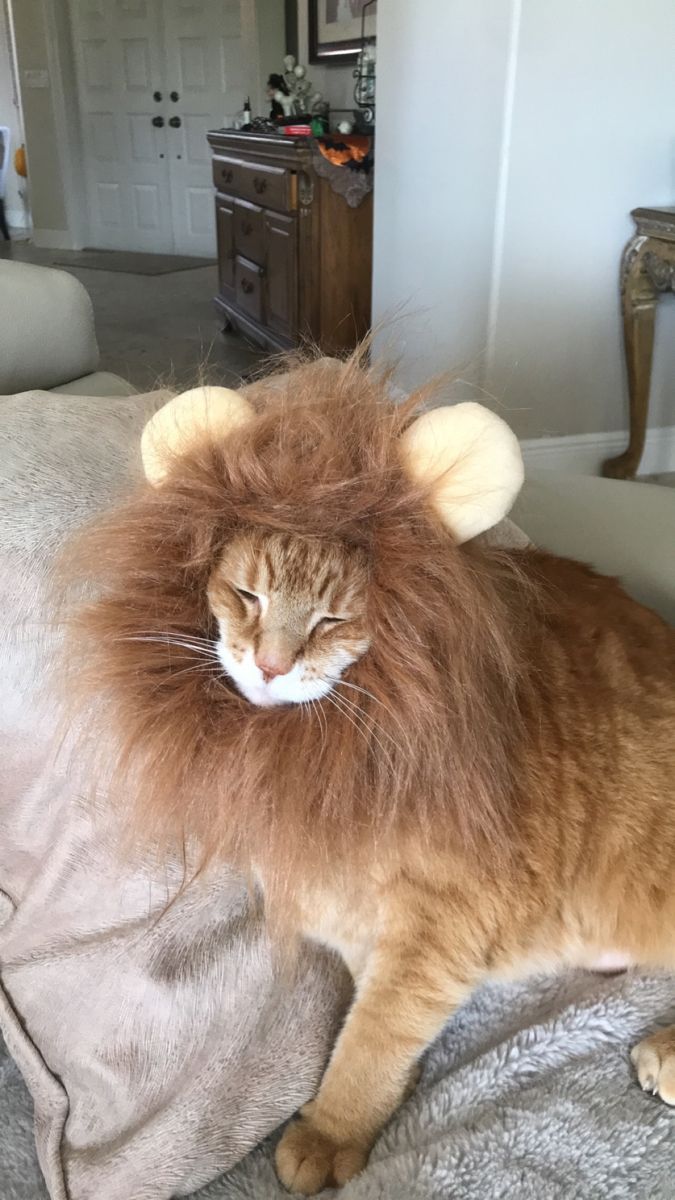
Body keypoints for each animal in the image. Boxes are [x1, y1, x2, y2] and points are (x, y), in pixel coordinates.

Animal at [64, 355, 672, 1190]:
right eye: (247, 595)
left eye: (333, 620)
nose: (271, 663)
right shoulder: (363, 934)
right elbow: (376, 1034)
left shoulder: (438, 931)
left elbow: (371, 1042)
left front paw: (329, 1132)